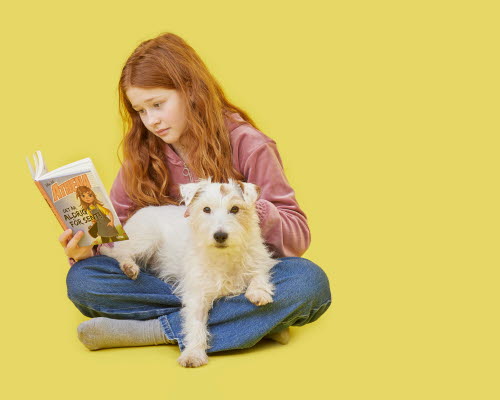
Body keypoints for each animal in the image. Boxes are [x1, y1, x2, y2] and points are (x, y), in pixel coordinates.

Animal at [98, 180, 278, 368]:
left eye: (235, 209)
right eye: (206, 209)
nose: (220, 236)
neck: (224, 255)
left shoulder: (260, 259)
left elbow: (259, 273)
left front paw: (258, 292)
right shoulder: (197, 294)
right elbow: (195, 324)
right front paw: (193, 353)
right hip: (145, 239)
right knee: (118, 253)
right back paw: (129, 266)